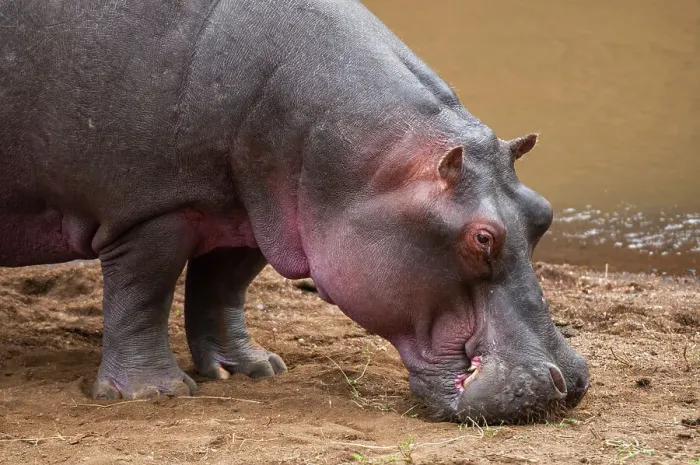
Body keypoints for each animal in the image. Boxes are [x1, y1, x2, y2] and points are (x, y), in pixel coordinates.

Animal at [0, 0, 589, 423]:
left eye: (542, 212)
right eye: (482, 239)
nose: (565, 382)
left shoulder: (252, 211)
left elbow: (222, 288)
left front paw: (251, 370)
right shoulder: (151, 210)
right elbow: (143, 295)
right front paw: (153, 393)